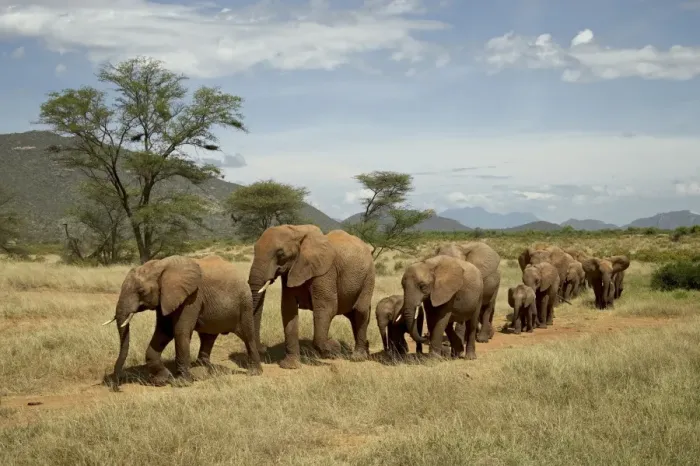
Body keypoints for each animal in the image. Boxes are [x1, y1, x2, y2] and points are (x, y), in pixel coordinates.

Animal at [103, 254, 262, 388]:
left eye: (142, 291)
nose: (116, 384)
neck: (160, 265)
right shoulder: (165, 299)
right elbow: (163, 332)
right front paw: (161, 380)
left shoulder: (191, 297)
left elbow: (180, 331)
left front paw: (181, 383)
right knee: (207, 337)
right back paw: (202, 371)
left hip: (245, 304)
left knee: (247, 336)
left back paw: (254, 372)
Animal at [247, 224, 375, 369]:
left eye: (281, 254)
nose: (263, 348)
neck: (298, 230)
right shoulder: (292, 271)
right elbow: (288, 310)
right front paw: (290, 366)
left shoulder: (325, 272)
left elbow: (326, 308)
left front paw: (334, 348)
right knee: (353, 315)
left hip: (369, 276)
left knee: (360, 311)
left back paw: (357, 357)